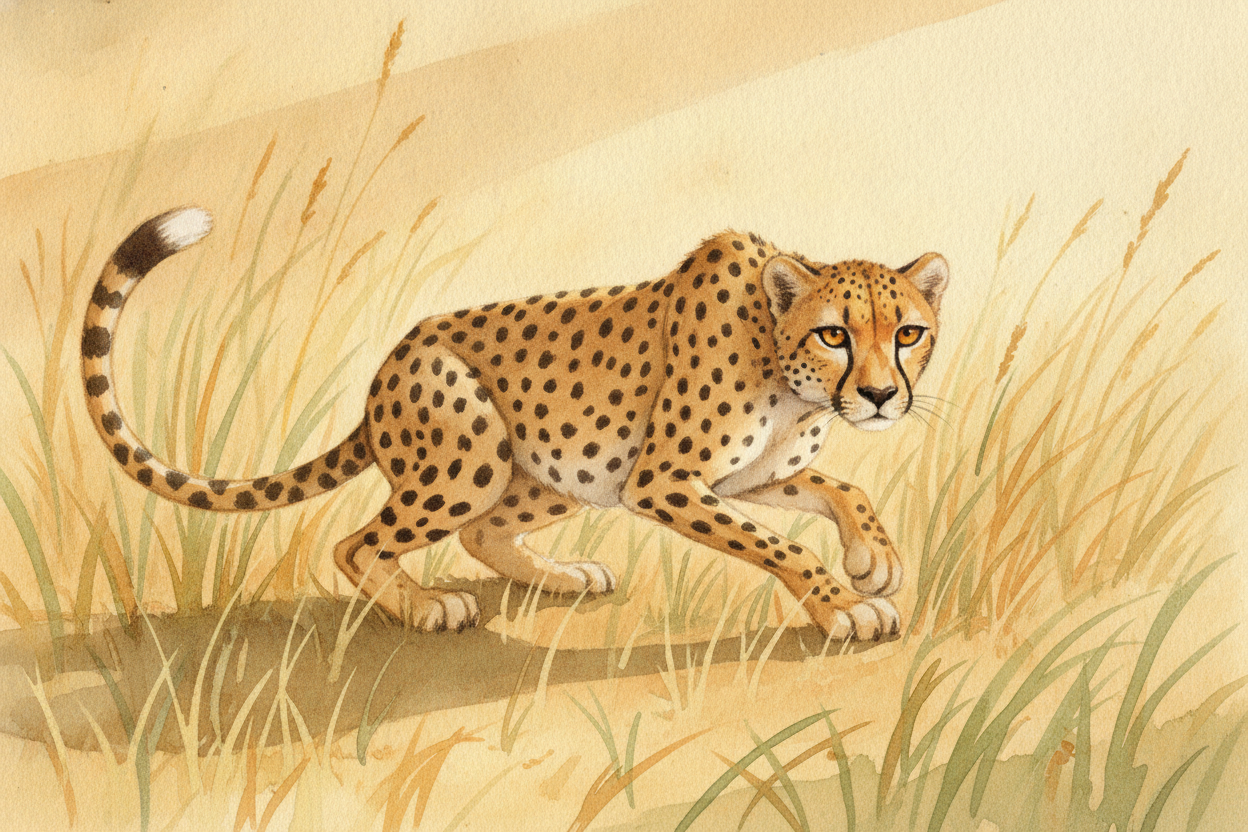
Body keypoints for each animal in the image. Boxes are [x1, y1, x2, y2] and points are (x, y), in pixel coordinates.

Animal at [82, 207, 949, 640]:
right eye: (834, 334)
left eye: (908, 332)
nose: (880, 396)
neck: (784, 365)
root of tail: (390, 364)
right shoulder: (664, 482)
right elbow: (779, 544)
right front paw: (846, 605)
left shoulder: (741, 477)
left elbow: (841, 487)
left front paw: (874, 559)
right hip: (470, 458)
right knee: (358, 543)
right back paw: (425, 607)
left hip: (558, 470)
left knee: (481, 532)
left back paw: (563, 576)